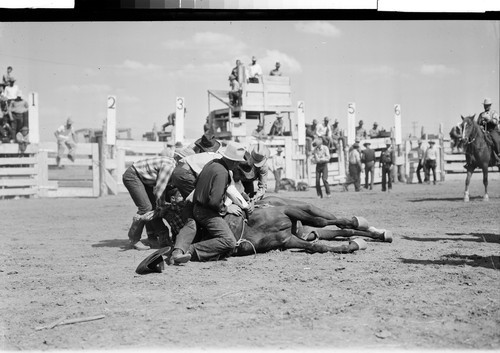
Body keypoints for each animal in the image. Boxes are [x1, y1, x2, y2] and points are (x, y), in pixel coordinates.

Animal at [136, 195, 390, 272]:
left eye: (172, 209)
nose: (174, 235)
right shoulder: (287, 240)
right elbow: (316, 246)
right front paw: (353, 245)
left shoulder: (290, 212)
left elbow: (327, 222)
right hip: (305, 229)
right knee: (335, 230)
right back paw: (368, 236)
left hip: (302, 208)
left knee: (333, 220)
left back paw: (369, 228)